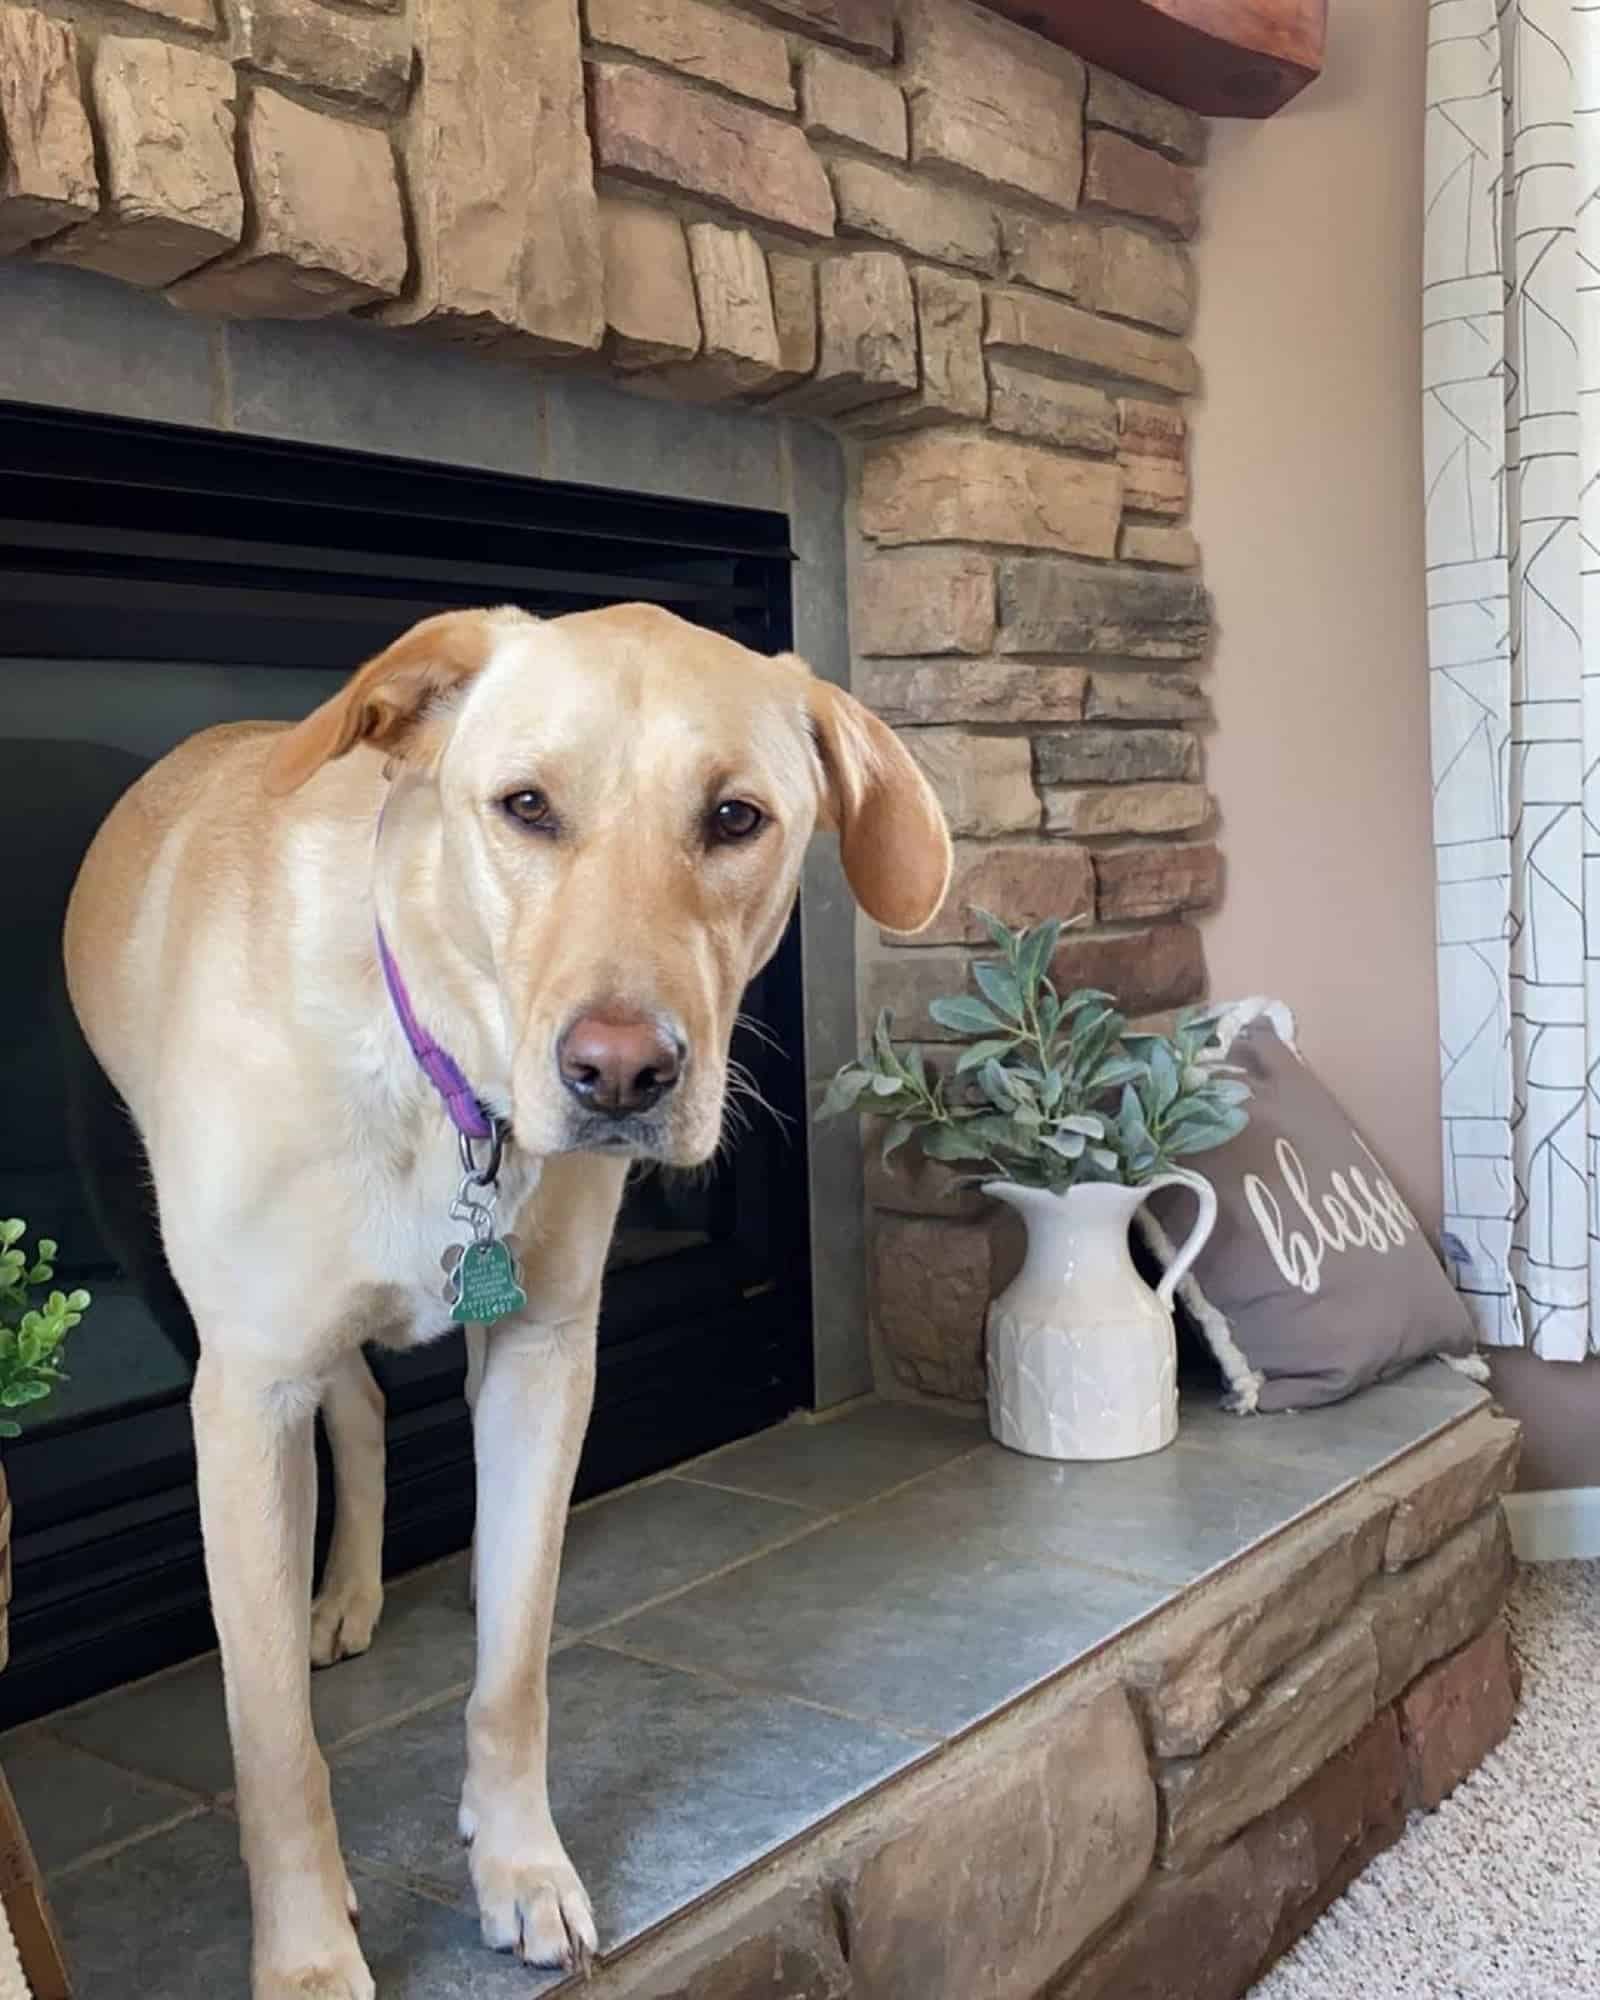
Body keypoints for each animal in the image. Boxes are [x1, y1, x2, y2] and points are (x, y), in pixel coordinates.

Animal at [65, 604, 952, 2000]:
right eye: (525, 805)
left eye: (736, 818)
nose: (621, 1074)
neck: (442, 1079)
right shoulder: (247, 1392)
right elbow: (272, 1740)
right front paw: (307, 1954)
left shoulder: (544, 1354)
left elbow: (513, 1671)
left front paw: (520, 1861)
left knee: (368, 1406)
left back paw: (355, 1590)